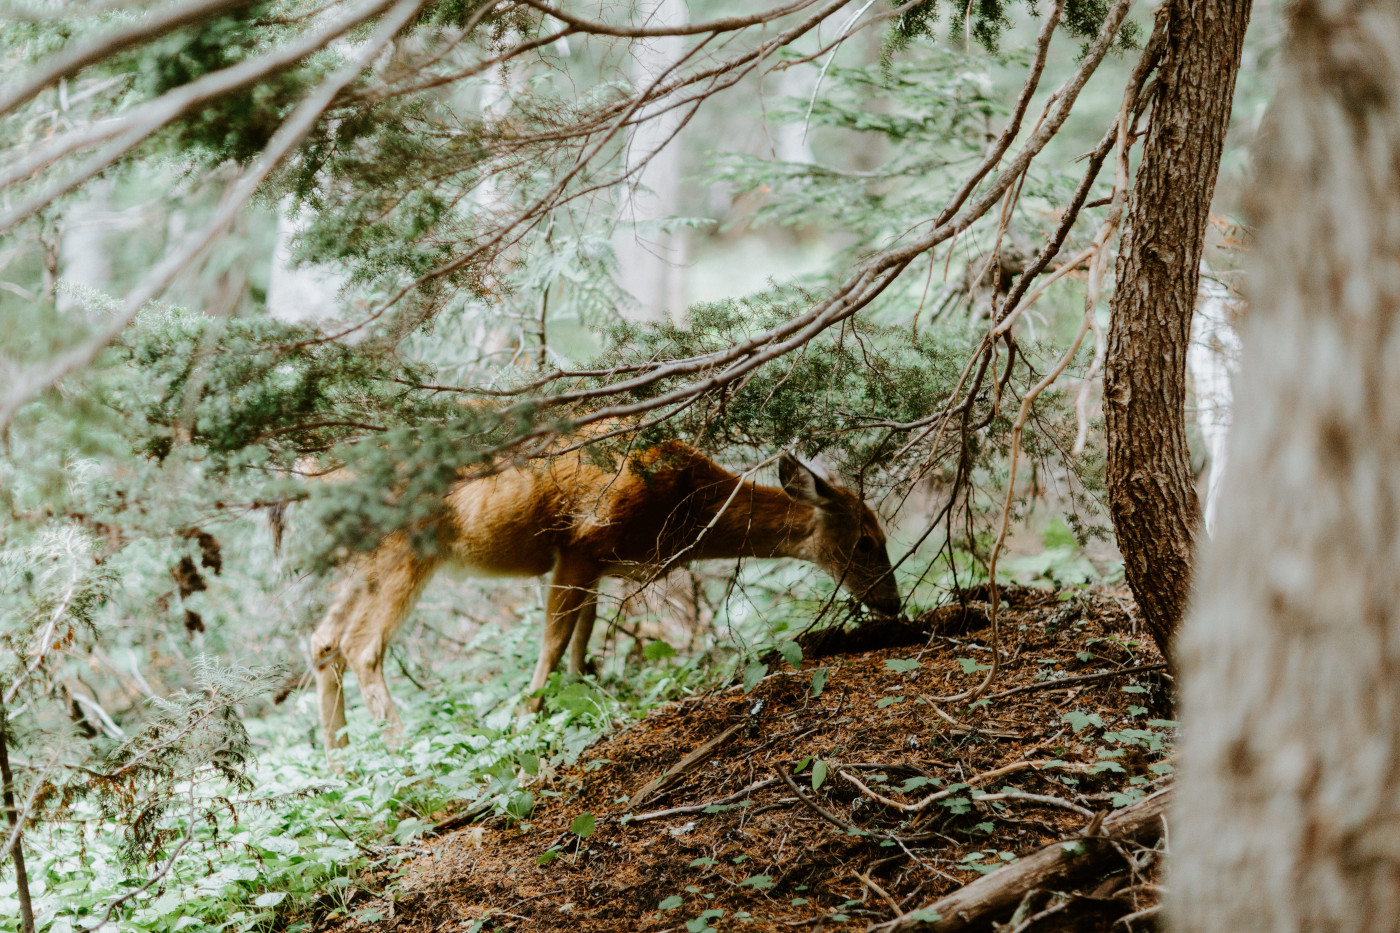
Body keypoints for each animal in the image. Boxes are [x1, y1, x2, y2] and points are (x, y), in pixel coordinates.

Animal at [309, 437, 896, 750]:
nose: (892, 604)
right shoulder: (581, 543)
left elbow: (581, 638)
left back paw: (341, 761)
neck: (685, 505)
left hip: (362, 557)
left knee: (322, 640)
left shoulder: (596, 565)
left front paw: (582, 701)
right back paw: (402, 747)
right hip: (402, 546)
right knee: (362, 646)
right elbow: (553, 640)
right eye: (866, 542)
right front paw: (527, 721)